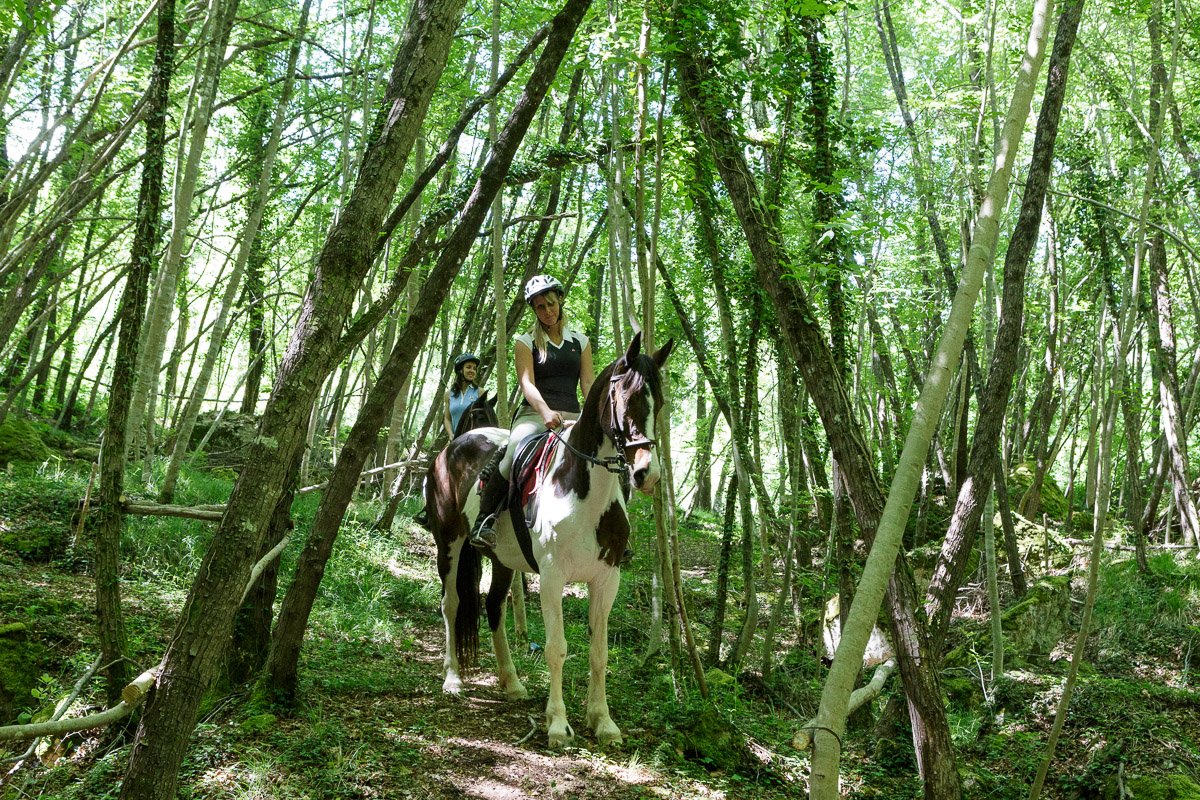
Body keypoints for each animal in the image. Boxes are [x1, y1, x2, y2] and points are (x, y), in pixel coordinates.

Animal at [424, 331, 672, 743]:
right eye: (627, 398)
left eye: (661, 402)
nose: (646, 474)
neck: (584, 489)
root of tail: (452, 448)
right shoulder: (554, 575)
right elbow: (557, 648)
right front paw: (557, 723)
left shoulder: (607, 578)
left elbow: (599, 653)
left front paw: (603, 721)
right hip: (449, 543)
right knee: (452, 603)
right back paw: (453, 678)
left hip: (503, 559)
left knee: (494, 606)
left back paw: (511, 683)